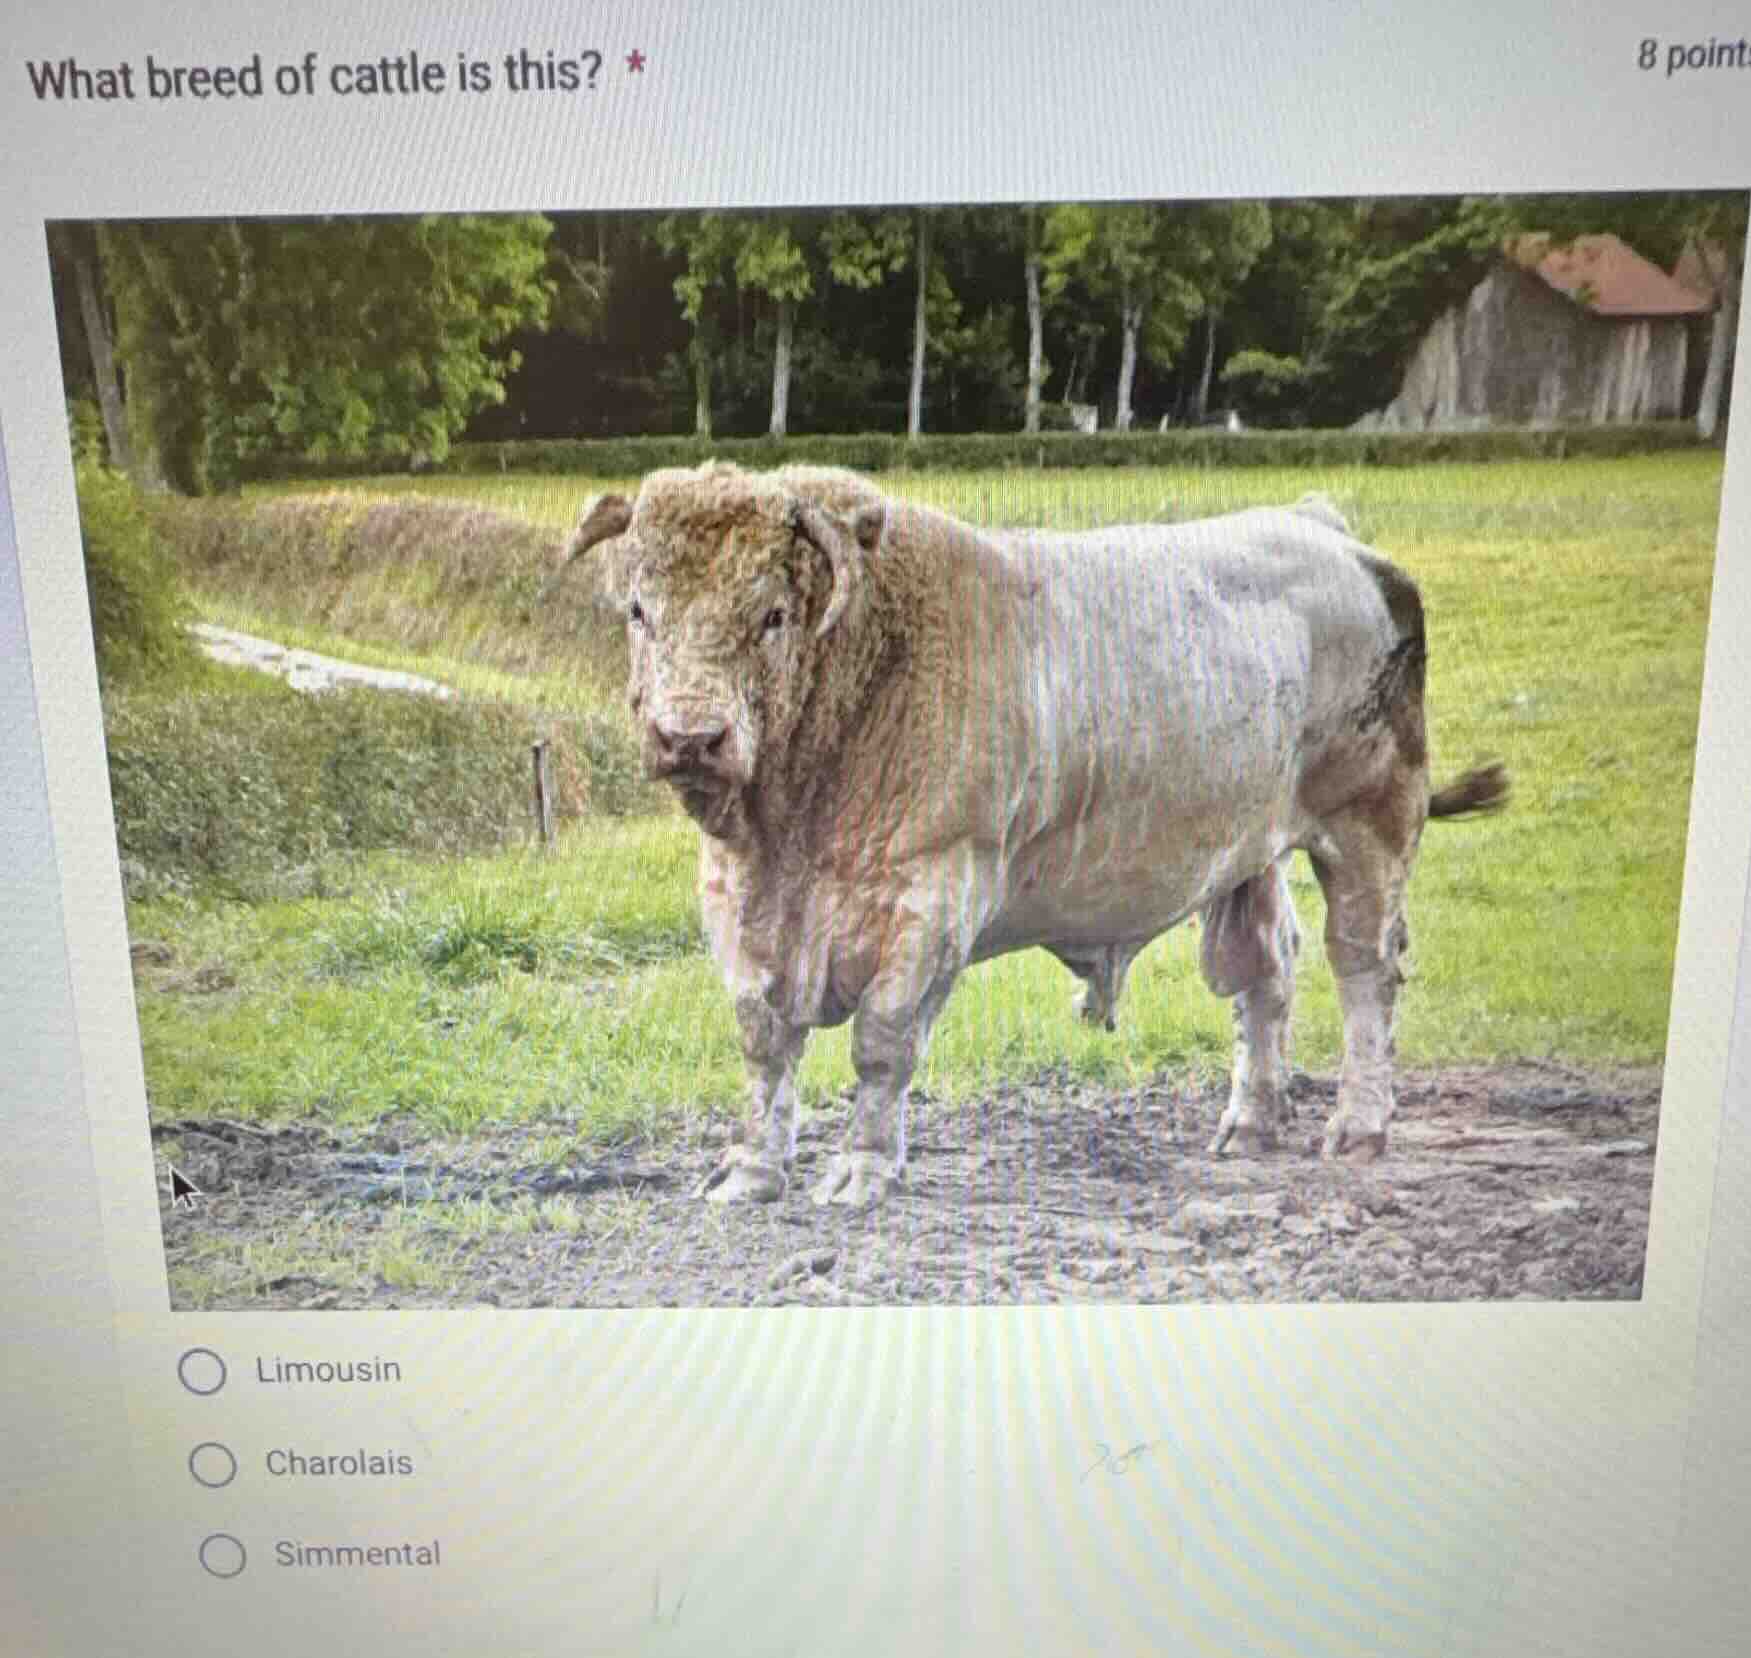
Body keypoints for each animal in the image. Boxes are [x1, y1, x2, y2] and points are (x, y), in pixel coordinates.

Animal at [553, 462, 1507, 1208]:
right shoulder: (740, 902)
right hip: (1248, 850)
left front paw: (862, 1169)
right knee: (1263, 971)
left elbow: (881, 1043)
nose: (690, 736)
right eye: (637, 610)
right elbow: (763, 1041)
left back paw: (1358, 1124)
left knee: (1364, 970)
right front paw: (751, 1169)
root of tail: (1321, 526)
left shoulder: (934, 893)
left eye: (773, 614)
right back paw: (1250, 1121)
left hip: (1370, 823)